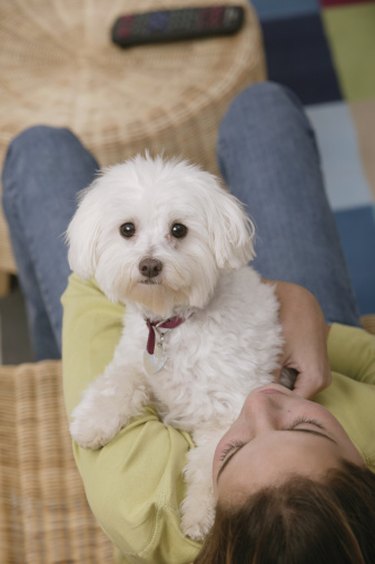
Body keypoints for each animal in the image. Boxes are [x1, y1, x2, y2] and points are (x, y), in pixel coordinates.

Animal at [67, 154, 284, 540]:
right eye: (127, 229)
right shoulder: (135, 358)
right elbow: (117, 381)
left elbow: (210, 464)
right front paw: (92, 422)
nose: (150, 265)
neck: (174, 324)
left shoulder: (229, 412)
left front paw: (199, 516)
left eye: (179, 230)